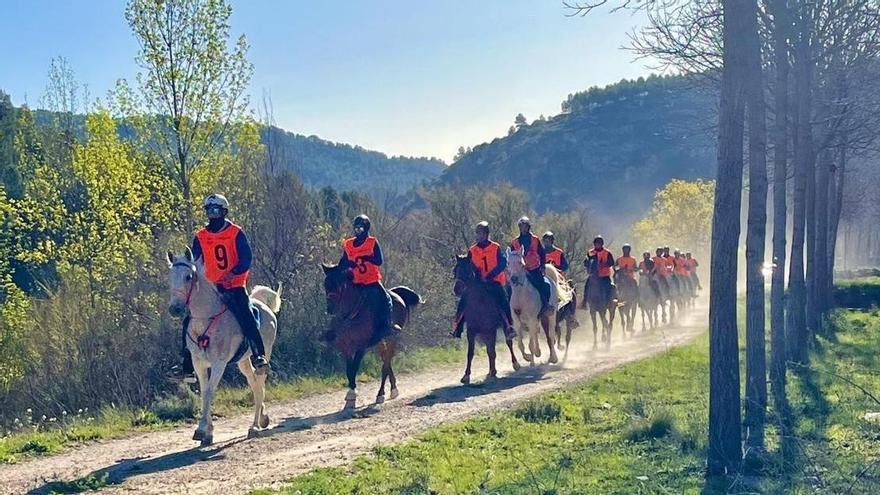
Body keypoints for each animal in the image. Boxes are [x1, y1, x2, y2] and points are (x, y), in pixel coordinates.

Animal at [162, 248, 278, 446]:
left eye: (188, 276)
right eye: (170, 276)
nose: (175, 309)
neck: (205, 317)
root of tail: (262, 305)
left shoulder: (219, 363)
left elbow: (209, 392)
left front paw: (201, 430)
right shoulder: (198, 363)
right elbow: (204, 393)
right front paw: (207, 433)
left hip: (265, 354)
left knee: (259, 382)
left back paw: (255, 426)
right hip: (243, 361)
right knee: (254, 383)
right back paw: (262, 419)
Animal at [320, 266, 422, 408]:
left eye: (340, 285)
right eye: (326, 284)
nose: (330, 309)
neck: (352, 314)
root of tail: (396, 293)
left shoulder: (362, 346)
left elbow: (354, 367)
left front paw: (351, 395)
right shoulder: (346, 346)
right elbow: (349, 370)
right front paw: (351, 393)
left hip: (391, 339)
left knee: (385, 365)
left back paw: (381, 394)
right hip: (379, 342)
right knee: (386, 360)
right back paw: (393, 389)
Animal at [454, 254, 524, 386]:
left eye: (467, 270)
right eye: (455, 270)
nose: (457, 289)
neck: (479, 302)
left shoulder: (491, 329)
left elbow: (492, 351)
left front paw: (493, 371)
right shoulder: (471, 331)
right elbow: (471, 353)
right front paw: (466, 376)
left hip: (503, 327)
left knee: (508, 343)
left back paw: (515, 364)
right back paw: (491, 371)